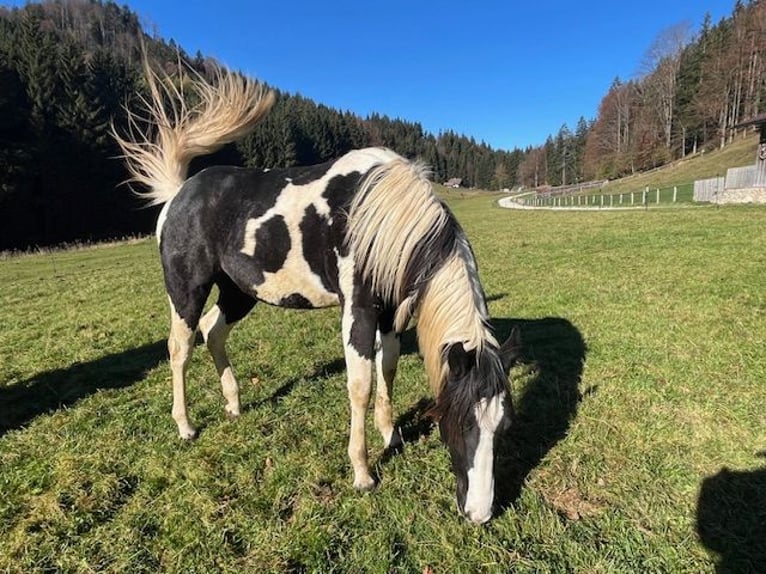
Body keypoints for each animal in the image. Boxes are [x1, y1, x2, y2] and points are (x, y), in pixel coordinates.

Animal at [114, 62, 520, 528]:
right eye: (461, 420)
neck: (381, 214)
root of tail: (179, 193)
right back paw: (185, 426)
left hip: (240, 292)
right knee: (180, 348)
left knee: (213, 331)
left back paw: (234, 405)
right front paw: (362, 471)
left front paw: (390, 434)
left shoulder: (389, 313)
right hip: (187, 291)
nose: (479, 513)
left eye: (504, 425)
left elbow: (388, 367)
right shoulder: (358, 311)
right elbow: (360, 384)